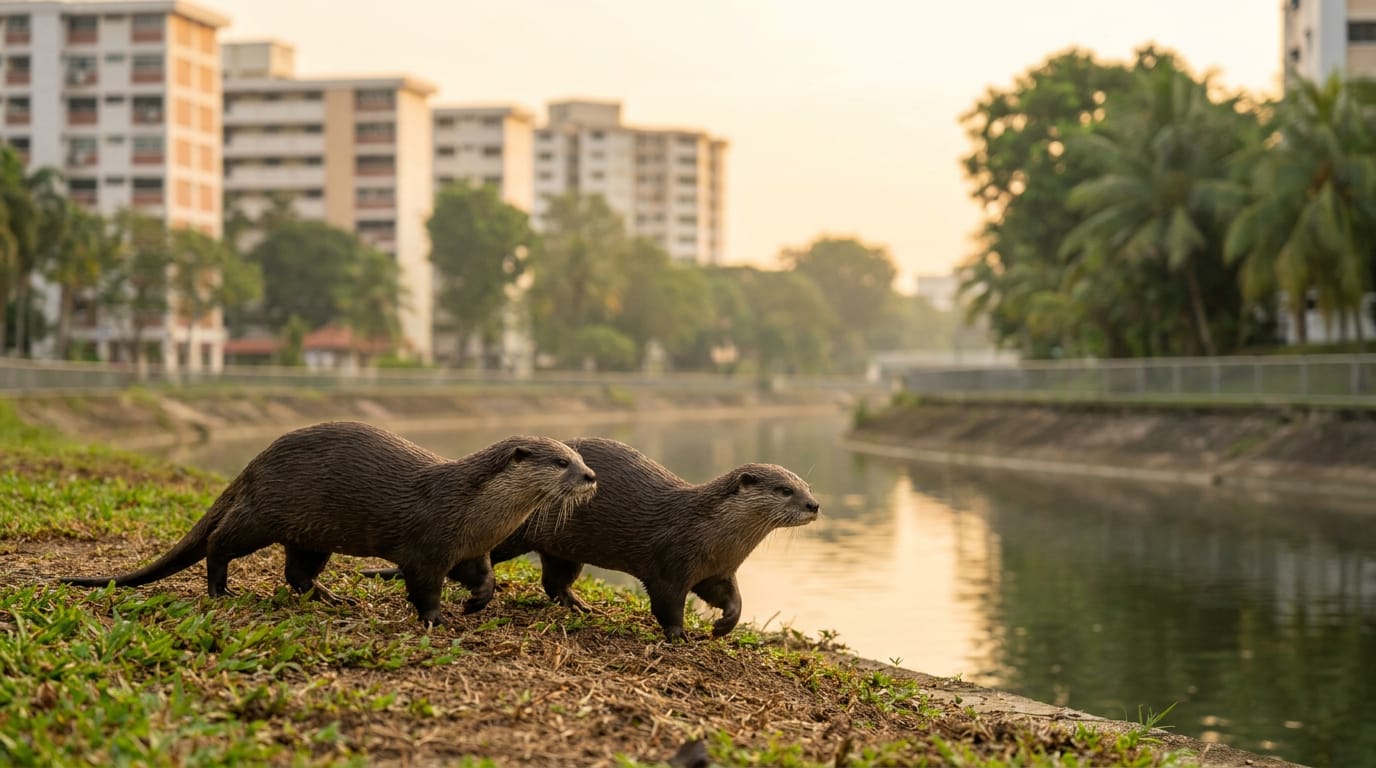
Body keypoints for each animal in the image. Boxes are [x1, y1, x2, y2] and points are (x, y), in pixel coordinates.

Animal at [60, 421, 598, 626]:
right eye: (560, 462)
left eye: (578, 458)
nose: (591, 476)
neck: (472, 509)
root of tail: (256, 462)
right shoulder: (427, 547)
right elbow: (423, 586)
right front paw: (435, 618)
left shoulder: (470, 548)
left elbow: (484, 579)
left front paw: (474, 604)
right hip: (264, 513)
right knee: (219, 539)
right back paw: (220, 589)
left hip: (311, 536)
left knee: (297, 572)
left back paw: (331, 596)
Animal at [363, 437, 819, 641]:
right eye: (785, 490)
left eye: (807, 486)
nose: (814, 505)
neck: (711, 534)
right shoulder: (671, 563)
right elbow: (667, 602)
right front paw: (679, 635)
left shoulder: (718, 570)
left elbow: (731, 598)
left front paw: (725, 625)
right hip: (520, 534)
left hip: (565, 550)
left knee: (554, 581)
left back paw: (580, 605)